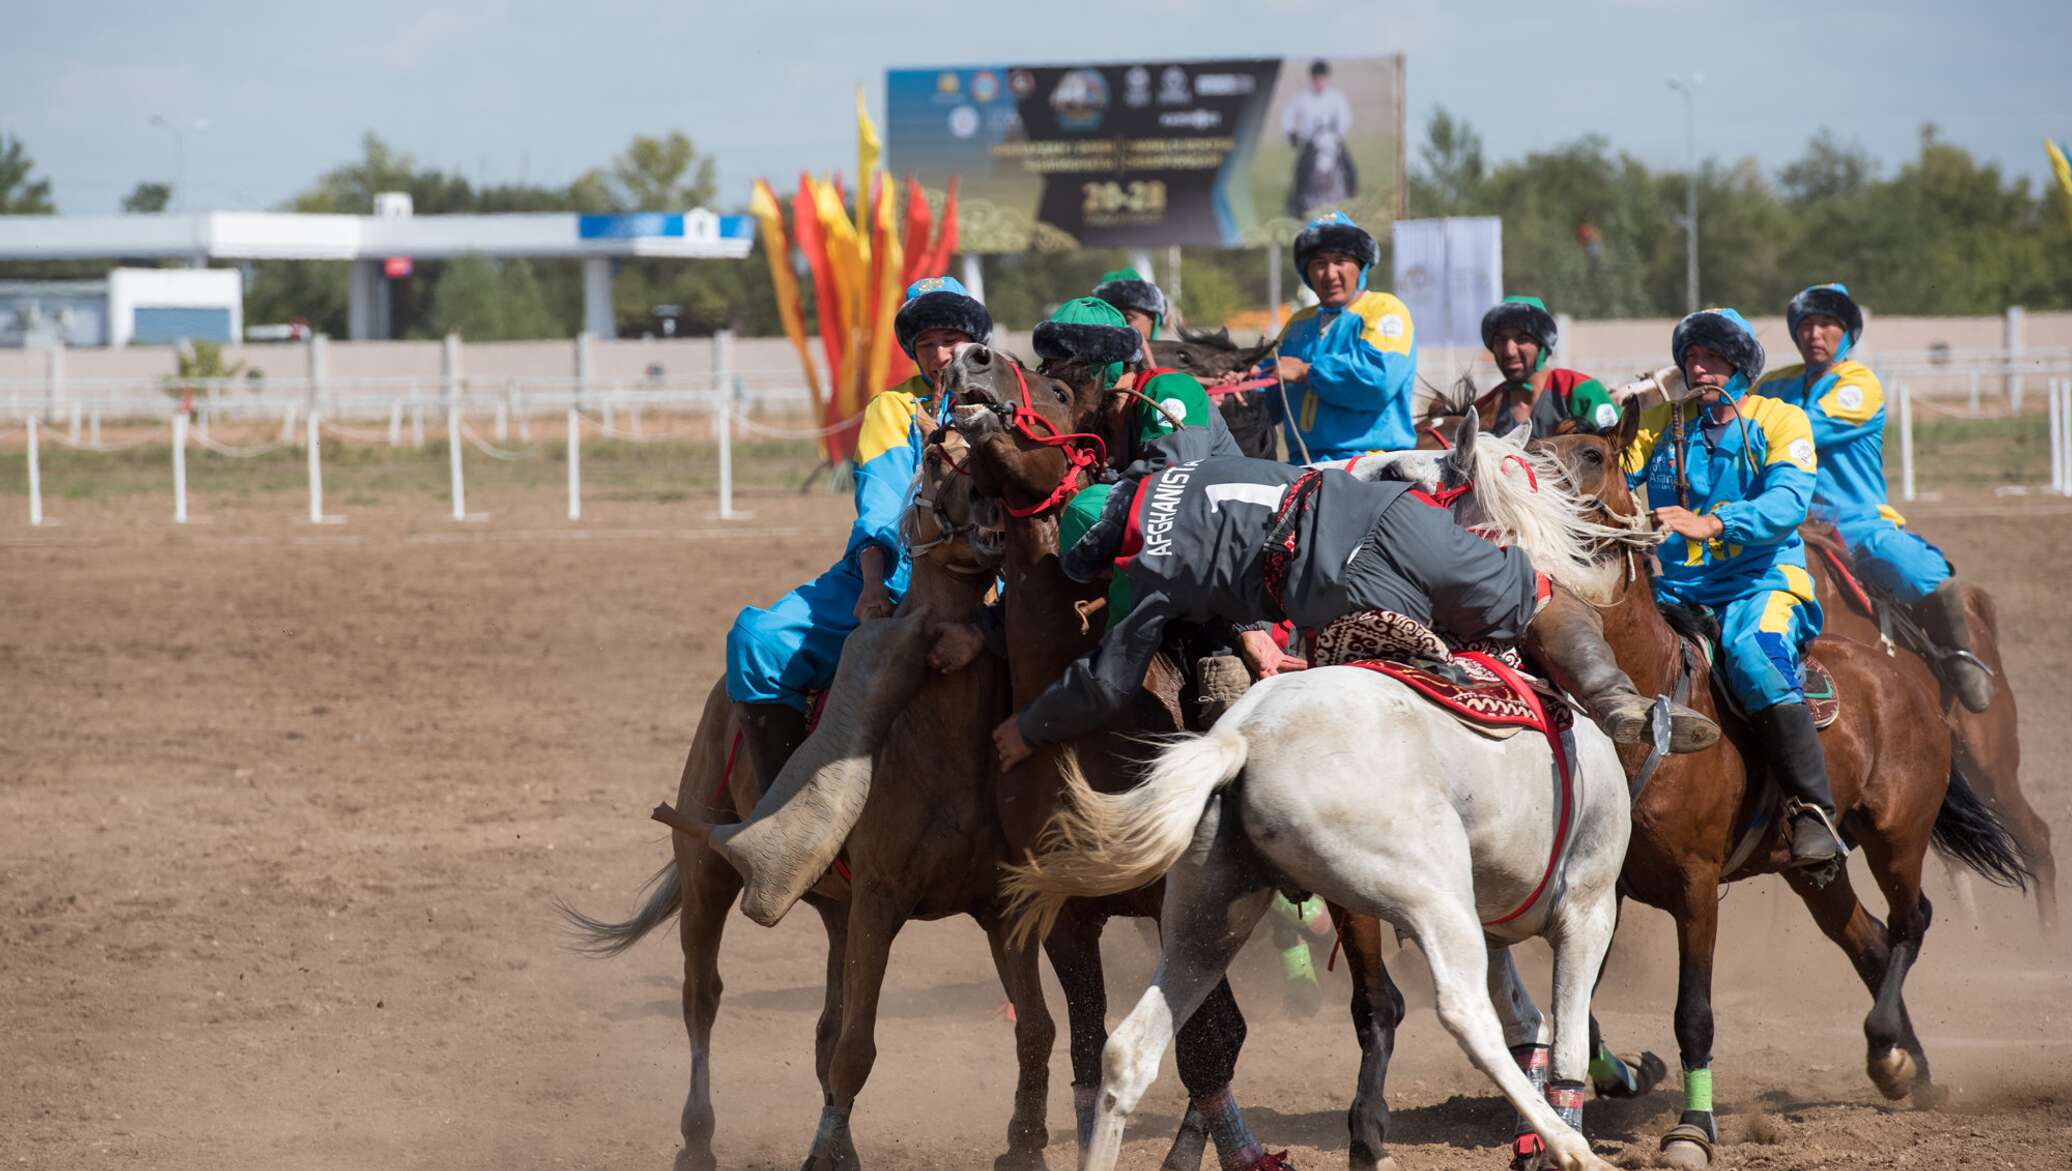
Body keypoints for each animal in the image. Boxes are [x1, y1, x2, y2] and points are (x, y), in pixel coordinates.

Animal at [559, 429, 1052, 1168]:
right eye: (939, 463)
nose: (992, 504)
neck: (940, 747)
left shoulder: (998, 908)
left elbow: (1035, 1029)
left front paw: (1024, 1146)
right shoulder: (879, 903)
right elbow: (856, 1048)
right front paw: (827, 1150)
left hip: (837, 914)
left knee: (821, 1027)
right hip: (708, 878)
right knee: (702, 997)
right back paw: (697, 1138)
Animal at [1011, 424, 1641, 1168]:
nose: (1327, 471)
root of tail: (1241, 738)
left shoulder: (1510, 923)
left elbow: (1531, 1018)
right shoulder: (1586, 906)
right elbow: (1562, 1035)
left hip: (1209, 911)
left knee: (1130, 1050)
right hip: (1428, 896)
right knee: (1463, 1012)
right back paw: (1572, 1149)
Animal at [1516, 414, 2030, 1160]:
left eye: (1591, 454)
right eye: (1534, 446)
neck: (1647, 707)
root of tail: (1908, 677)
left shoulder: (1698, 889)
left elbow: (1693, 1014)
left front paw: (1693, 1129)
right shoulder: (1602, 887)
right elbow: (1579, 1013)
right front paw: (1628, 1074)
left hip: (1897, 835)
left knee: (1911, 922)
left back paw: (1889, 1048)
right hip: (1813, 870)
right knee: (1868, 940)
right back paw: (1910, 1068)